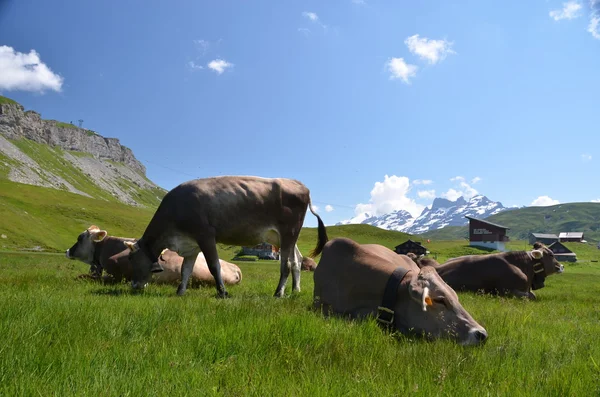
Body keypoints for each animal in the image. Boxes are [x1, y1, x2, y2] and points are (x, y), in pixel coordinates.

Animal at [123, 176, 326, 296]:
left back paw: (278, 293)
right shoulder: (191, 245)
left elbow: (214, 266)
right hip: (285, 237)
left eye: (132, 259)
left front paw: (222, 292)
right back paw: (296, 290)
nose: (133, 285)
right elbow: (185, 269)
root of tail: (300, 185)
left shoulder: (205, 235)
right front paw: (180, 292)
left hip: (288, 232)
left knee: (287, 265)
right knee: (296, 260)